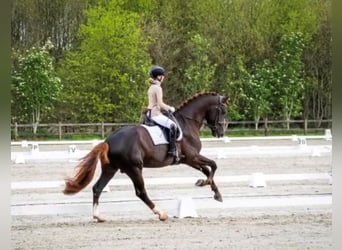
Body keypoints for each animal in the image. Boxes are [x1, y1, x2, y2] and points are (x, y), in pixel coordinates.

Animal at [62, 91, 228, 221]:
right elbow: (213, 165)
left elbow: (207, 169)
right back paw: (161, 214)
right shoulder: (192, 156)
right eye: (223, 111)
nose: (220, 132)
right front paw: (205, 183)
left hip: (111, 168)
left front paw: (215, 192)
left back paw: (98, 216)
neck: (187, 123)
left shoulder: (188, 159)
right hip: (134, 168)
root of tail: (108, 141)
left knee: (98, 188)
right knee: (140, 192)